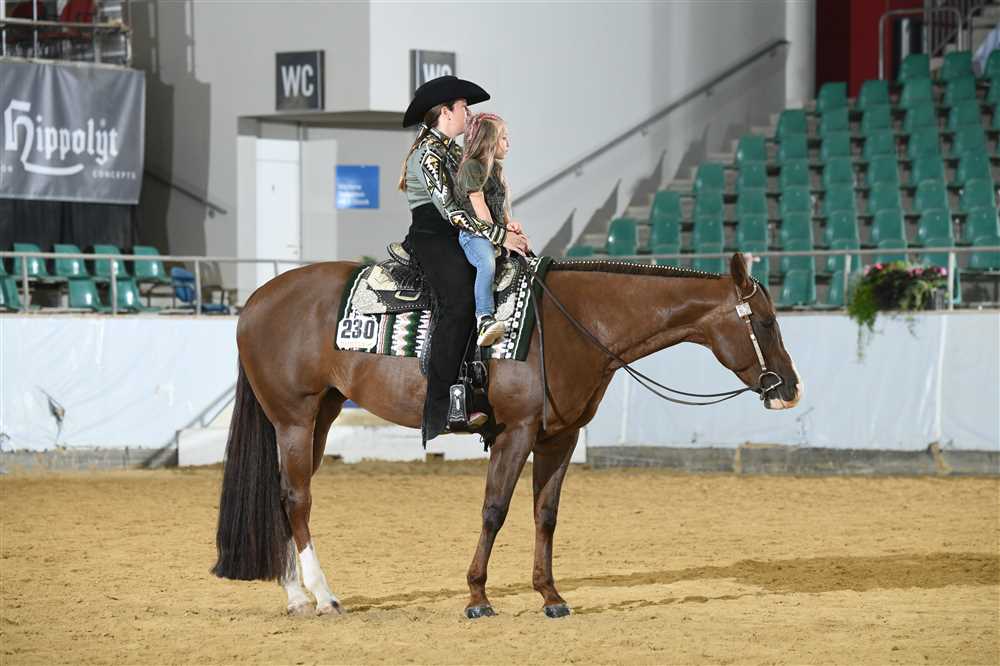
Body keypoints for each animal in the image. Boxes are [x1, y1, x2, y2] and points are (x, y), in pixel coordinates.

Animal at [211, 252, 802, 618]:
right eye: (765, 322)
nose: (789, 388)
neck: (571, 322)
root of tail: (257, 300)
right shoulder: (515, 433)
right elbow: (494, 509)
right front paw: (477, 596)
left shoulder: (559, 438)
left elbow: (546, 515)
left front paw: (550, 596)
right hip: (294, 417)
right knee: (298, 499)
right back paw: (325, 596)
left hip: (321, 415)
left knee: (284, 498)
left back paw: (296, 596)